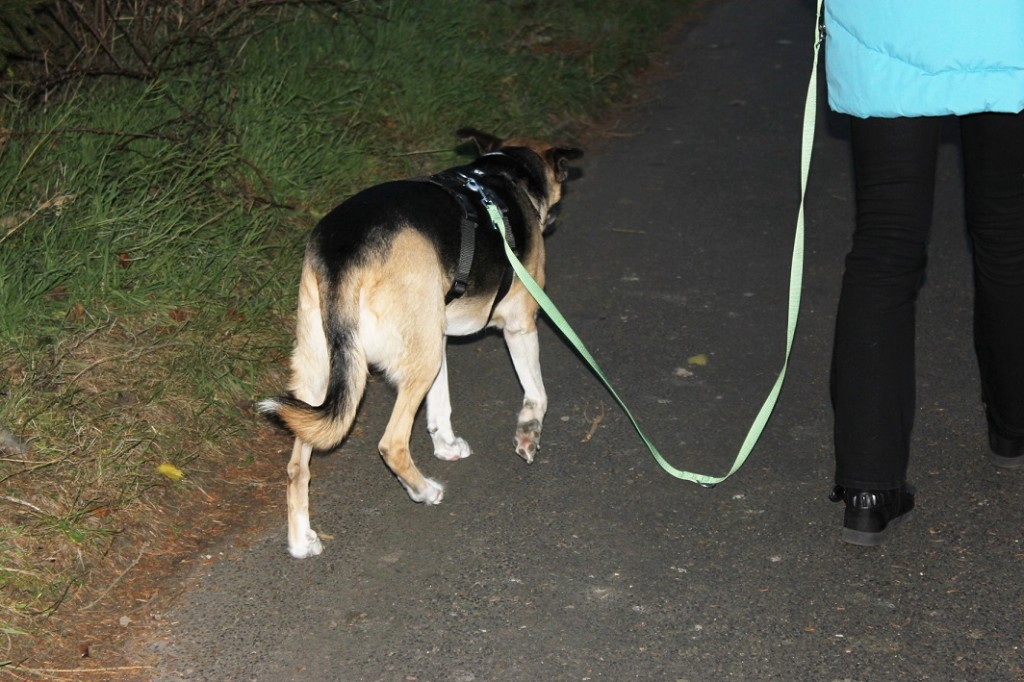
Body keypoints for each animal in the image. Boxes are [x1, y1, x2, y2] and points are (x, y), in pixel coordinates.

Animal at [262, 127, 585, 557]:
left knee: (298, 464)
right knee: (392, 443)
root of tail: (345, 253)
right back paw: (424, 491)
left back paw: (301, 541)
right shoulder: (520, 324)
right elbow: (537, 395)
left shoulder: (438, 333)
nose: (552, 218)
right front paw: (527, 435)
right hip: (414, 358)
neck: (505, 174)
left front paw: (446, 445)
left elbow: (440, 404)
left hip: (332, 368)